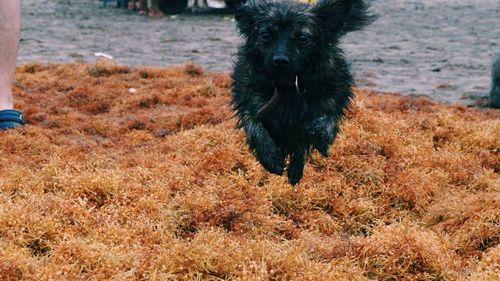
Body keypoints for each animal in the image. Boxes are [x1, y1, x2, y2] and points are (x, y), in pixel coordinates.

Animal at [230, 0, 376, 184]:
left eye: (302, 38)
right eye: (266, 35)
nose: (280, 61)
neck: (287, 86)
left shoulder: (330, 97)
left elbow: (326, 119)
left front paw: (320, 133)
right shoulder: (252, 103)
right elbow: (255, 126)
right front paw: (269, 156)